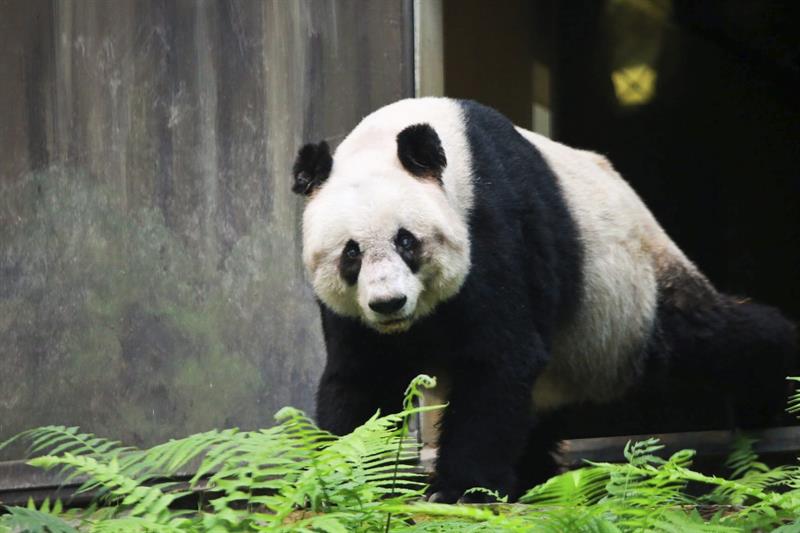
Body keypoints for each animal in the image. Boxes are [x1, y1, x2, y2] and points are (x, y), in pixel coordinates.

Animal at [290, 97, 796, 500]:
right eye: (350, 253)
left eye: (406, 241)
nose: (389, 303)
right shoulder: (352, 317)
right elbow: (362, 379)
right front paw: (339, 474)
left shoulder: (495, 225)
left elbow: (499, 357)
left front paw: (459, 490)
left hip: (631, 296)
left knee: (709, 338)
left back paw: (770, 396)